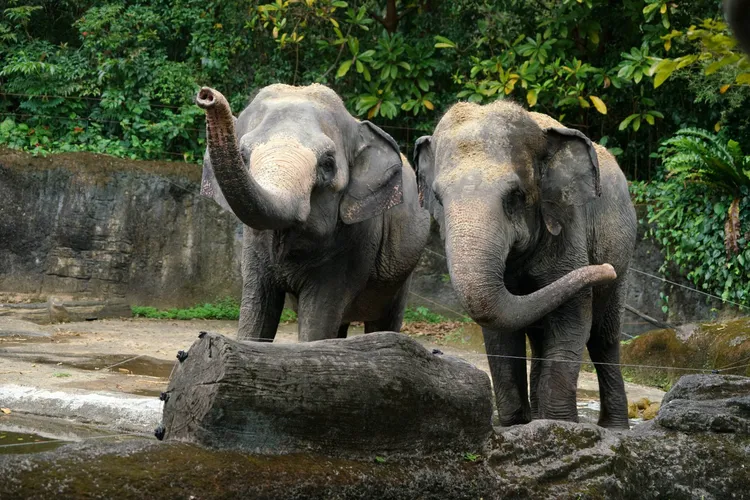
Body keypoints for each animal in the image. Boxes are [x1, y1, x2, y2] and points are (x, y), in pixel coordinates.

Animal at [196, 84, 430, 342]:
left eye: (327, 163)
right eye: (243, 155)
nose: (207, 95)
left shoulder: (354, 241)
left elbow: (318, 317)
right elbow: (257, 309)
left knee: (384, 320)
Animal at [414, 100, 637, 429]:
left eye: (515, 196)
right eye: (438, 199)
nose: (604, 269)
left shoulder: (568, 227)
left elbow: (572, 322)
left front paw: (560, 426)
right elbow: (500, 336)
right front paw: (517, 426)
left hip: (623, 252)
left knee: (603, 338)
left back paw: (614, 428)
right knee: (542, 337)